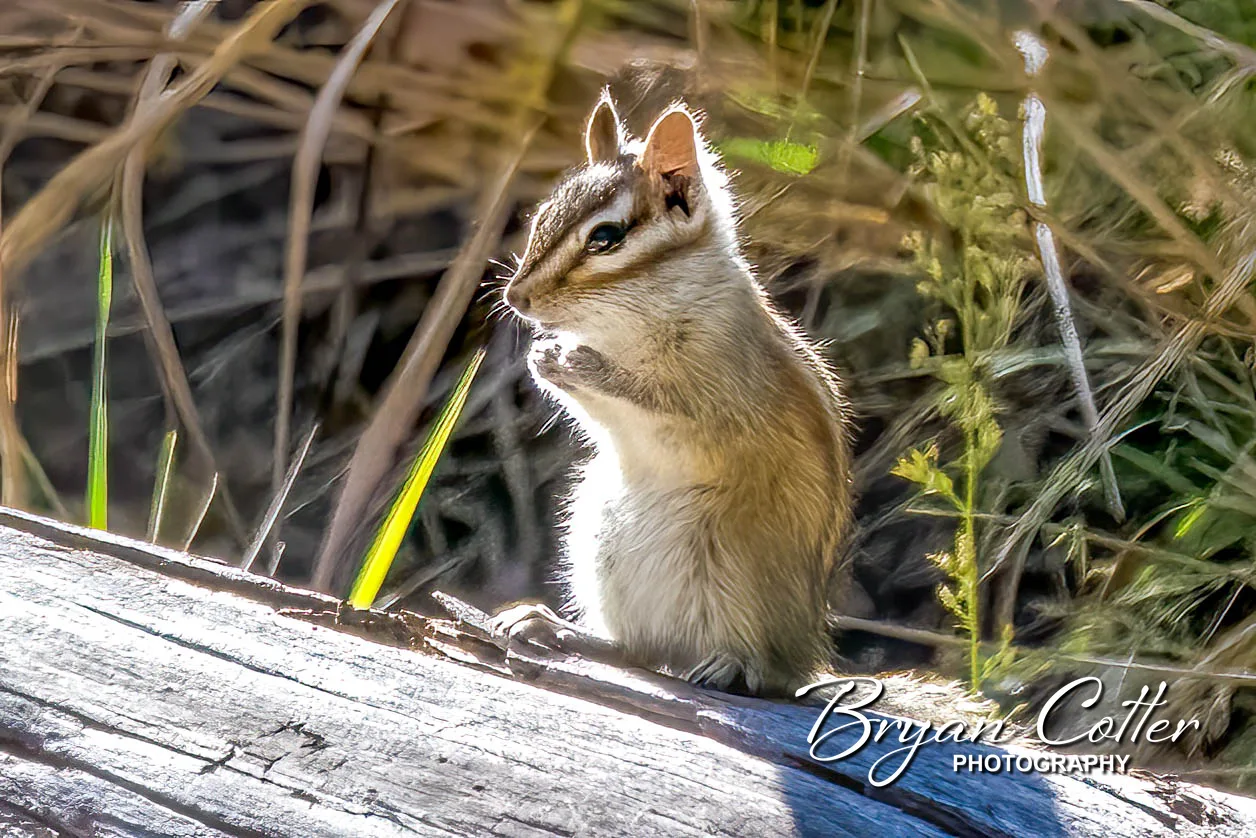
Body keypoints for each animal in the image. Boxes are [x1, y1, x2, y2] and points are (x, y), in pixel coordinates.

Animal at [496, 94, 853, 697]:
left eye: (605, 238)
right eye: (543, 215)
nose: (515, 297)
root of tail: (804, 662)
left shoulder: (714, 394)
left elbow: (658, 404)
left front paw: (581, 364)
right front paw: (545, 358)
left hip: (732, 567)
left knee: (754, 670)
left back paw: (731, 665)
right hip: (598, 539)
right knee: (637, 650)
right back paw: (551, 627)